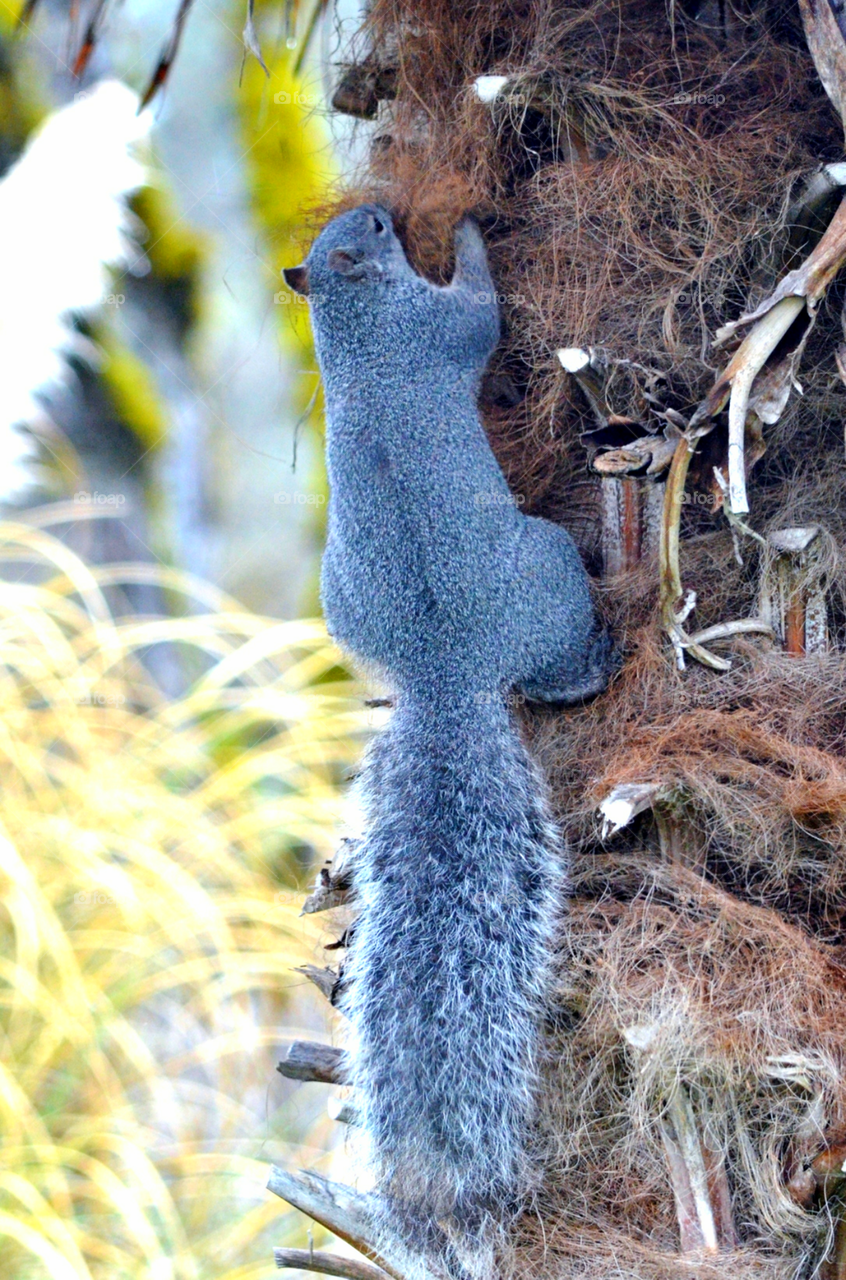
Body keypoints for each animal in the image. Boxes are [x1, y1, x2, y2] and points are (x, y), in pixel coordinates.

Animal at [284, 204, 614, 1274]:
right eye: (374, 226)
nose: (390, 208)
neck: (355, 327)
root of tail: (442, 674)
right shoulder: (441, 327)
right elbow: (479, 308)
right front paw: (471, 234)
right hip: (548, 574)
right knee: (562, 658)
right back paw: (598, 657)